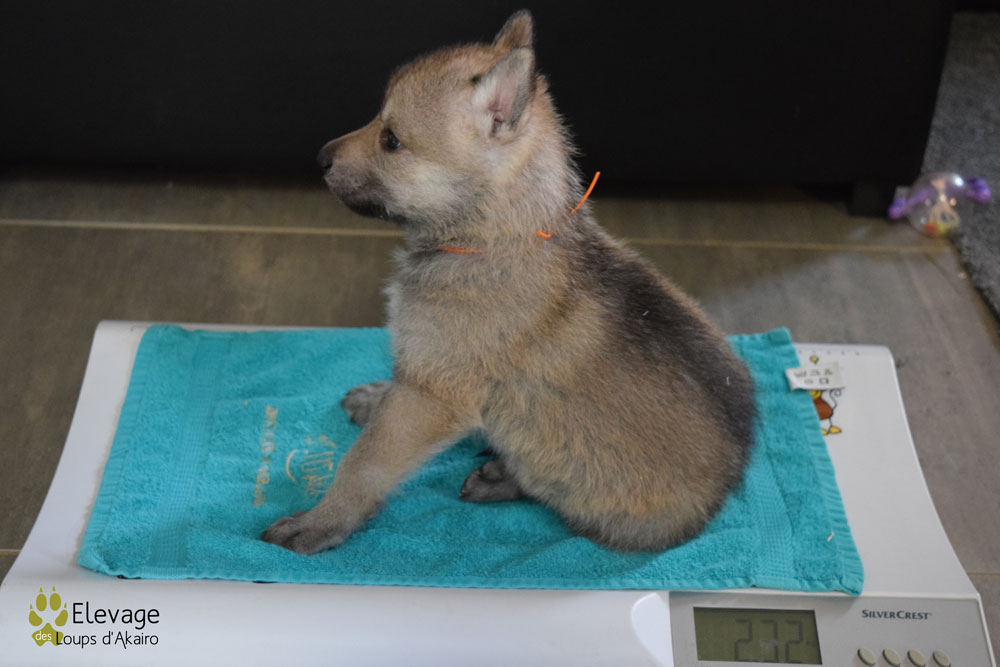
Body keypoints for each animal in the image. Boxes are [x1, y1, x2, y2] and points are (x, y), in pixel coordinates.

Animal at [262, 10, 755, 554]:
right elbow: (392, 392)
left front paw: (320, 522)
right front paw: (373, 397)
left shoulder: (431, 397)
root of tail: (722, 495)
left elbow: (363, 463)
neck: (488, 236)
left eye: (391, 140)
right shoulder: (423, 372)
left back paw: (504, 476)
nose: (320, 157)